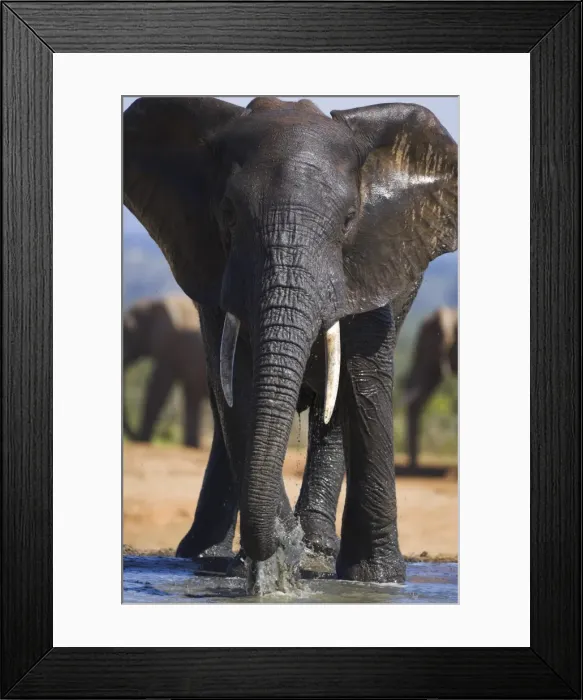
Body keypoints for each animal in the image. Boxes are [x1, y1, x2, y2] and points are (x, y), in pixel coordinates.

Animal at [123, 295, 209, 448]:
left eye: (129, 330)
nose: (134, 437)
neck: (153, 303)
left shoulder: (169, 347)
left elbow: (157, 389)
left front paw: (143, 441)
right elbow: (191, 399)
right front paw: (191, 445)